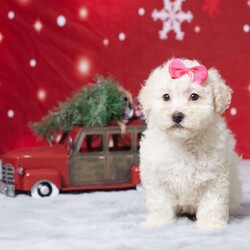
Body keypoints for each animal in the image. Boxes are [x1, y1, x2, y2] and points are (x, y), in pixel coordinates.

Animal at [140, 58, 241, 229]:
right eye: (166, 97)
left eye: (194, 96)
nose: (177, 116)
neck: (184, 141)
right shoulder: (157, 176)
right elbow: (160, 202)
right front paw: (159, 222)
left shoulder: (215, 176)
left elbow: (212, 202)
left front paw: (210, 225)